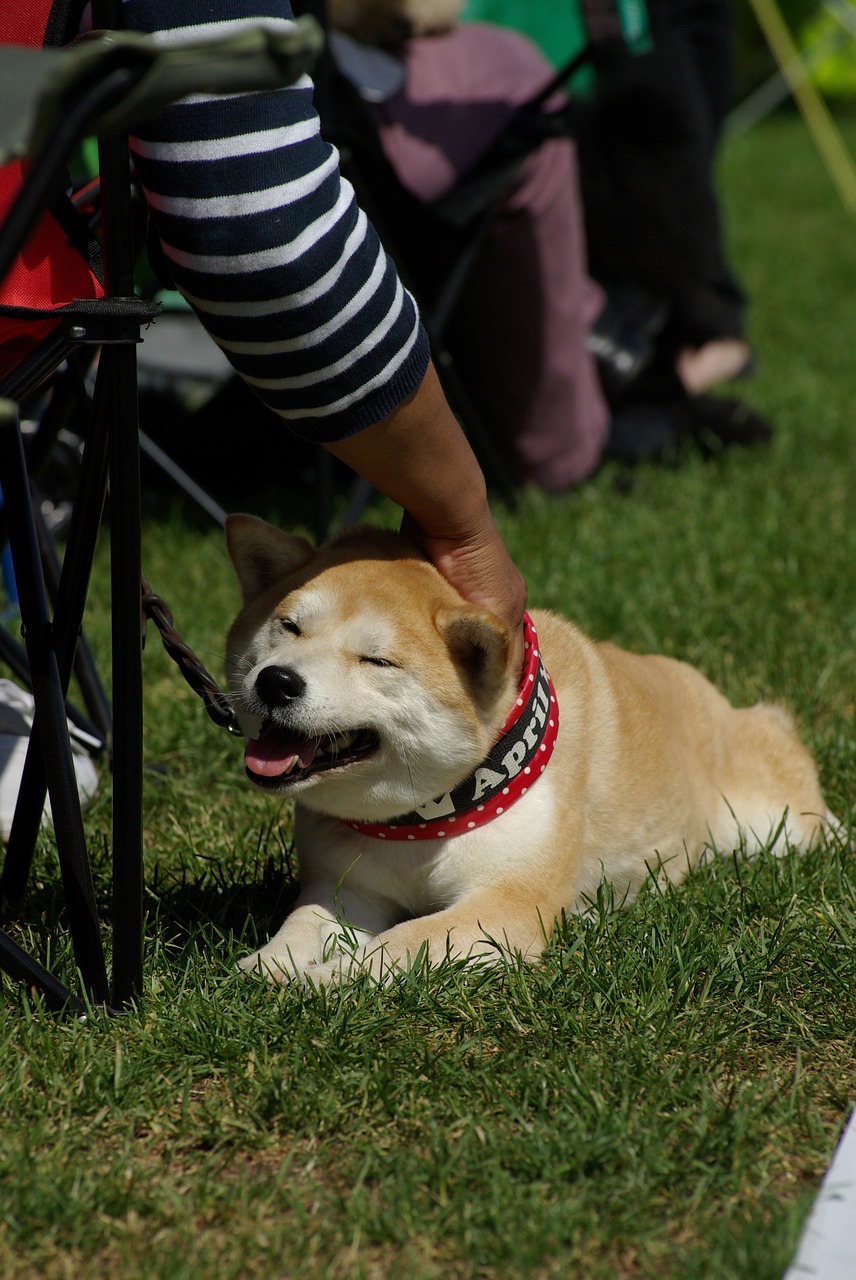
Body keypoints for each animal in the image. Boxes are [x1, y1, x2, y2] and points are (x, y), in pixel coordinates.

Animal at [223, 514, 829, 983]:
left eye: (378, 661)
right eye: (289, 626)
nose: (277, 681)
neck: (426, 821)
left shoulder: (507, 902)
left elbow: (402, 941)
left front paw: (326, 979)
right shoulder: (347, 885)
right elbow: (303, 925)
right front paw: (269, 965)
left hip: (777, 823)